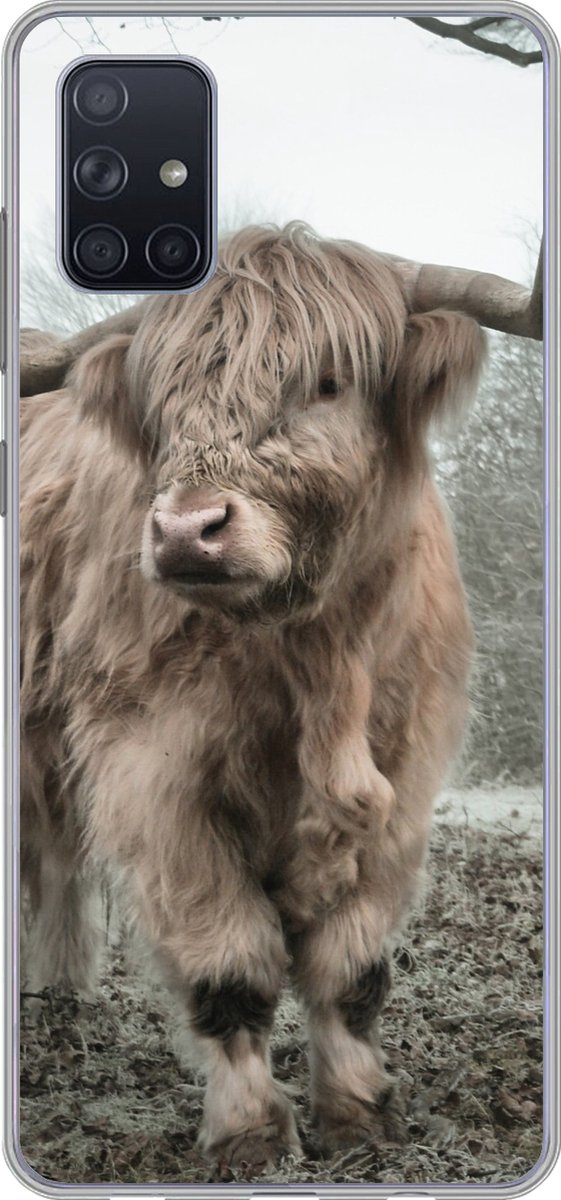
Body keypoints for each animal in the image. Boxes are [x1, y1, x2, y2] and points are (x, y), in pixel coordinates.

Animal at [19, 223, 542, 1174]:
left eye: (327, 382)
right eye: (162, 400)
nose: (185, 532)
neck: (315, 664)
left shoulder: (403, 783)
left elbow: (351, 971)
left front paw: (360, 1116)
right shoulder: (154, 780)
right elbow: (231, 969)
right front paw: (251, 1136)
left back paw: (61, 995)